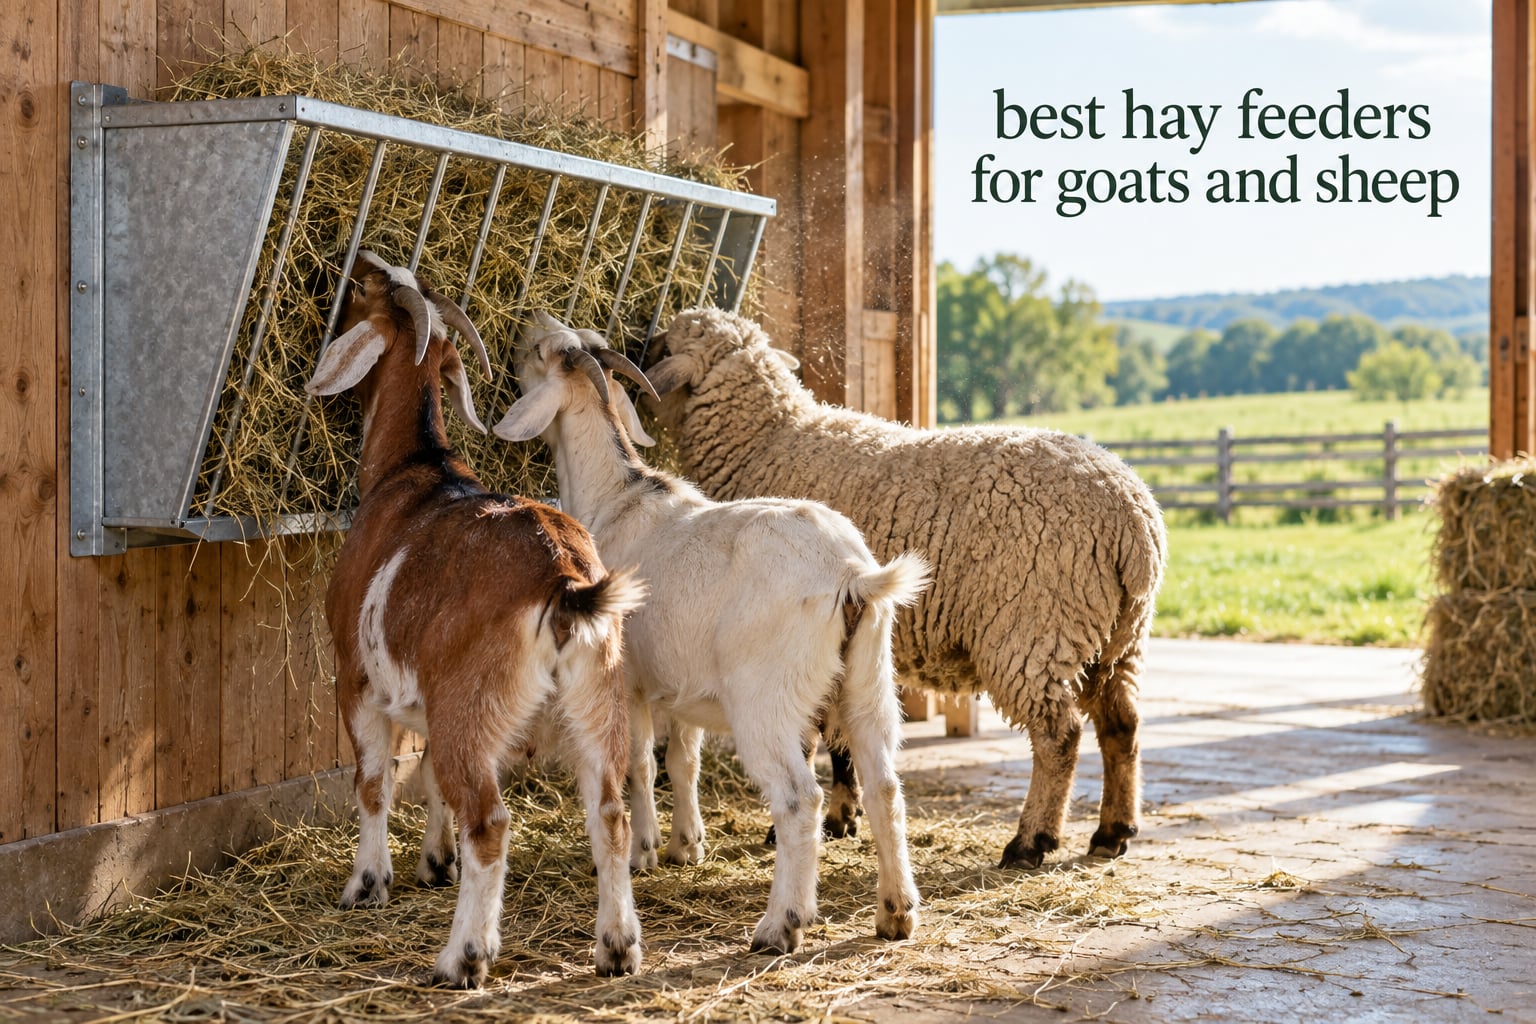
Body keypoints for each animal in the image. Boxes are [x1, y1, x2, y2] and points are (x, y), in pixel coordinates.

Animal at [304, 253, 644, 986]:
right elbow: (430, 777)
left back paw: (462, 957)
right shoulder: (433, 701)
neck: (413, 467)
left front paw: (367, 883)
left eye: (365, 293)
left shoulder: (356, 677)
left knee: (489, 821)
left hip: (475, 697)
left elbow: (372, 783)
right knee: (609, 815)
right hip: (597, 700)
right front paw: (436, 862)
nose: (357, 265)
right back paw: (617, 946)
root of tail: (562, 579)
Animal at [492, 311, 930, 955]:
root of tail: (852, 576)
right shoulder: (684, 685)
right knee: (885, 788)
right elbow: (683, 760)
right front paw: (686, 845)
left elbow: (640, 764)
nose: (527, 323)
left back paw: (780, 926)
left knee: (799, 798)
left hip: (766, 699)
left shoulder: (626, 679)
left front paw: (645, 851)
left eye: (541, 351)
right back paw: (895, 913)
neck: (616, 498)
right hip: (869, 681)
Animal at [642, 307, 1168, 871]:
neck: (765, 440)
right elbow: (841, 741)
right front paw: (841, 817)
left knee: (1059, 735)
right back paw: (1113, 831)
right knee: (1122, 724)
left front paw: (806, 823)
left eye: (667, 345)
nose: (637, 347)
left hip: (1035, 628)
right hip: (1117, 637)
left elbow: (808, 740)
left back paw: (1031, 841)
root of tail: (1133, 519)